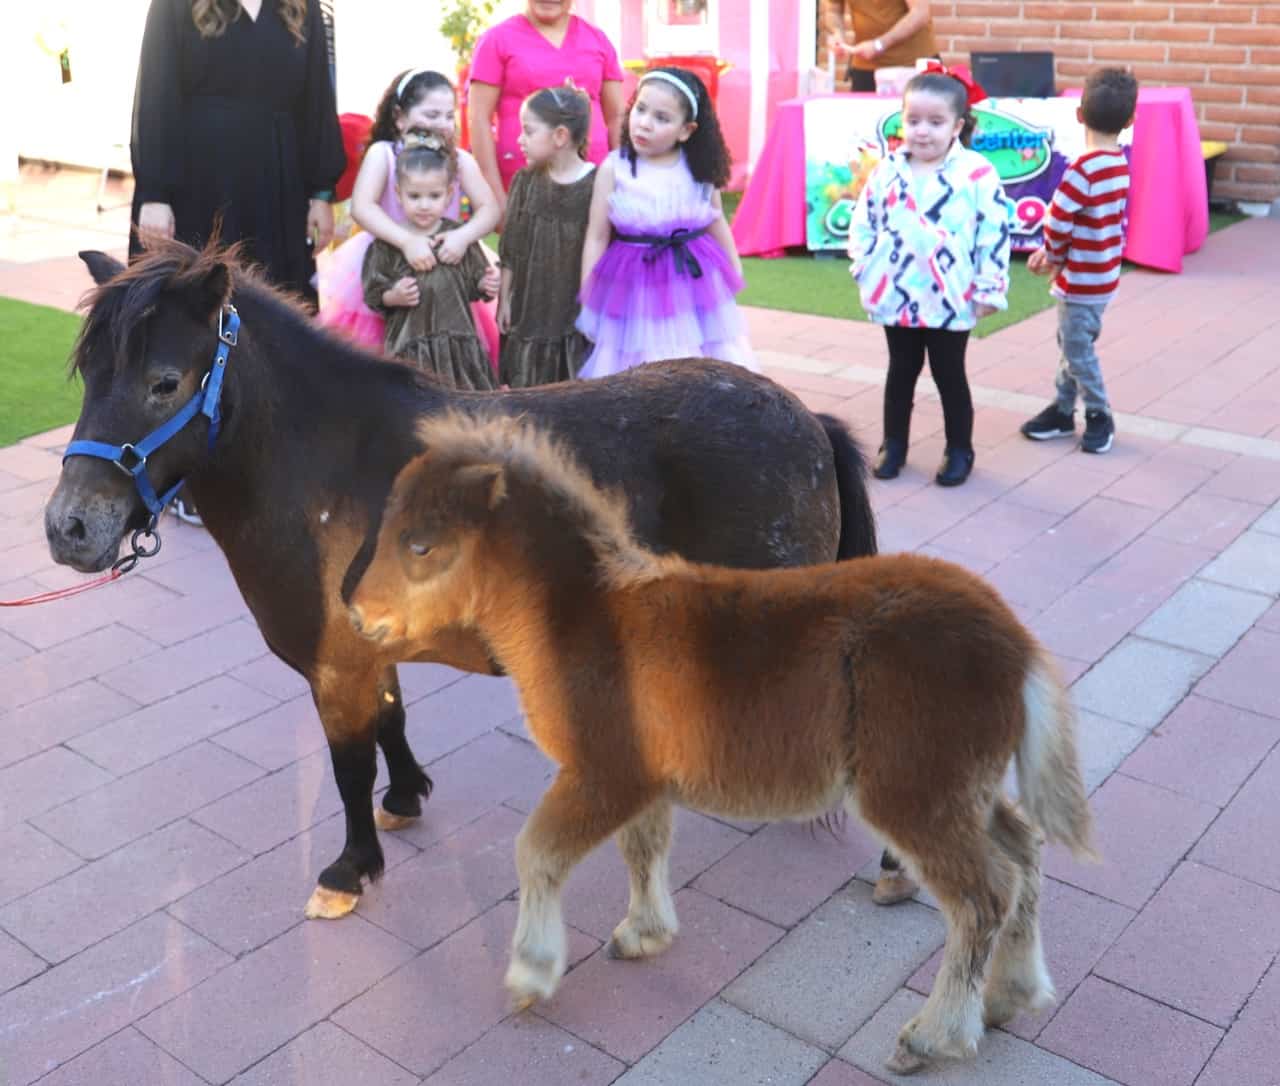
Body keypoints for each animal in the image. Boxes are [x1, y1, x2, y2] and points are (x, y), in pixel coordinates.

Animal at [42, 242, 880, 922]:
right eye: (87, 374)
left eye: (164, 382)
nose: (68, 528)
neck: (327, 468)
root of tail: (809, 420)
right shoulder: (366, 646)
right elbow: (390, 721)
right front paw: (405, 797)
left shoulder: (333, 663)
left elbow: (348, 764)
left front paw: (349, 871)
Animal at [353, 414, 1100, 1075]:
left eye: (421, 546)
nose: (359, 616)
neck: (584, 618)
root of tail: (1017, 641)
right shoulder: (646, 777)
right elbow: (644, 846)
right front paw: (644, 933)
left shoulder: (603, 772)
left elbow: (537, 852)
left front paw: (531, 975)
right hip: (966, 786)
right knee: (1024, 851)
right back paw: (1009, 998)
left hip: (915, 792)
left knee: (983, 896)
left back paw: (933, 1037)